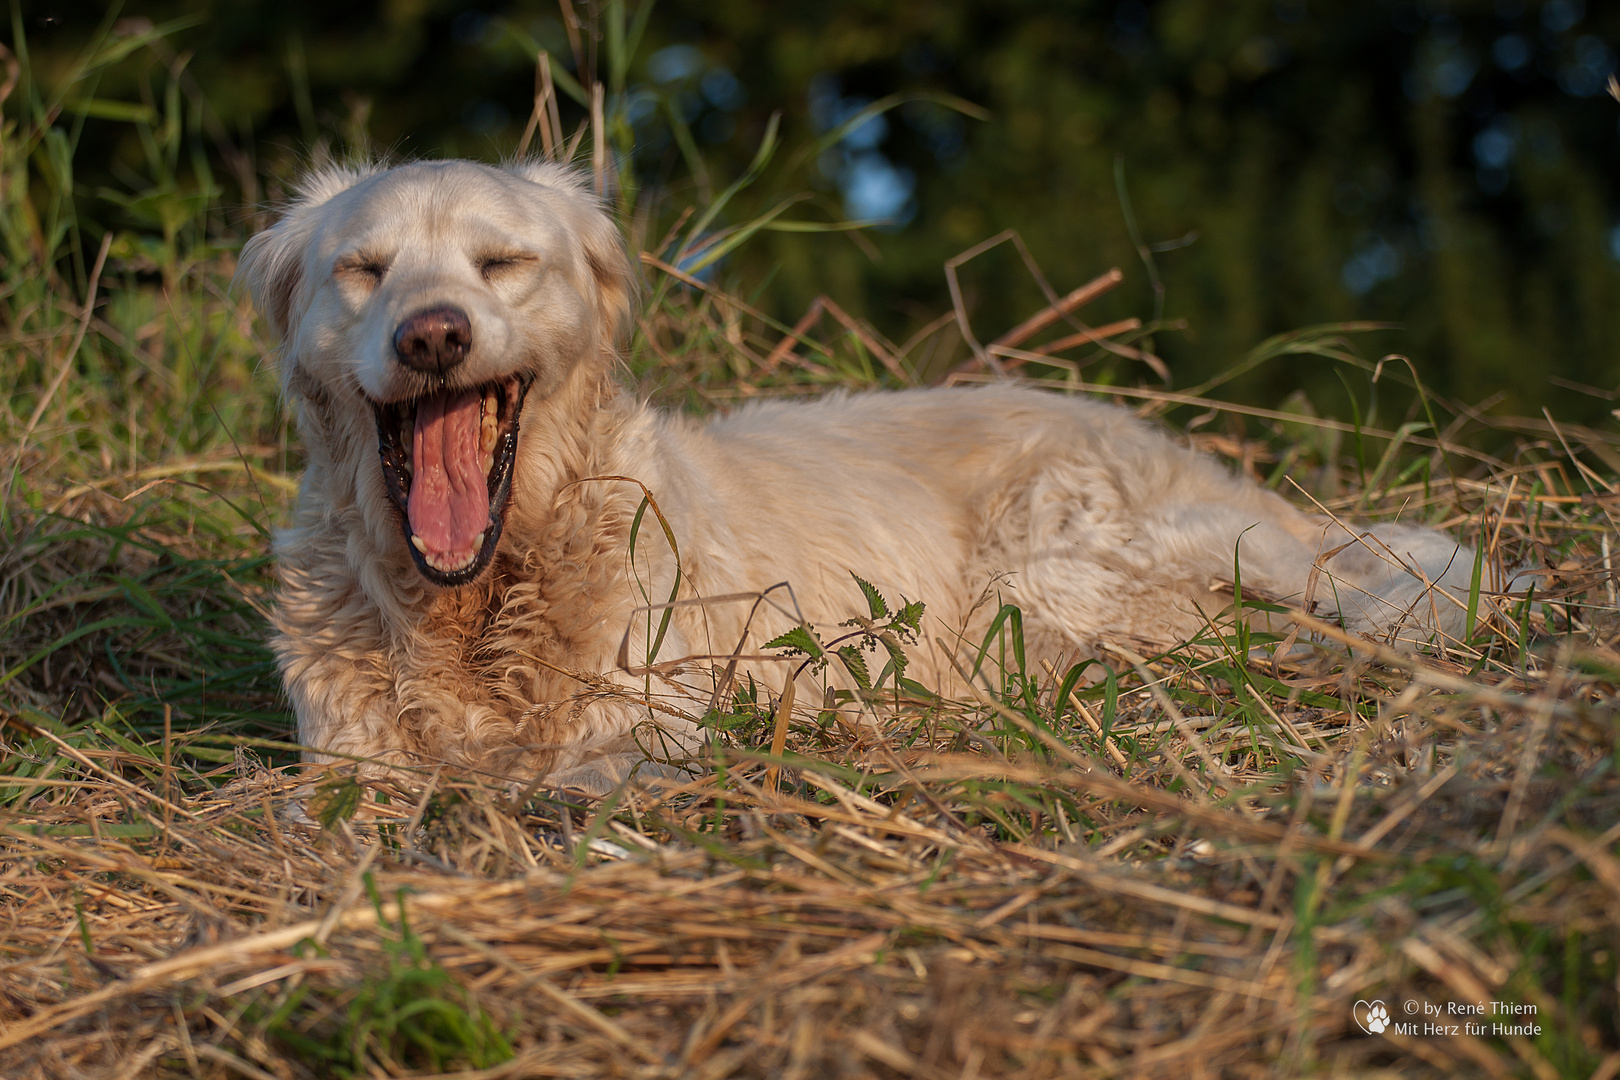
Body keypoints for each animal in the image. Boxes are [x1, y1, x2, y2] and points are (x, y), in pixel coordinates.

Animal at [236, 156, 1483, 790]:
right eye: (364, 269)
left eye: (500, 261)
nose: (432, 336)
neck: (482, 600)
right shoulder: (345, 761)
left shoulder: (642, 731)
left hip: (1058, 571)